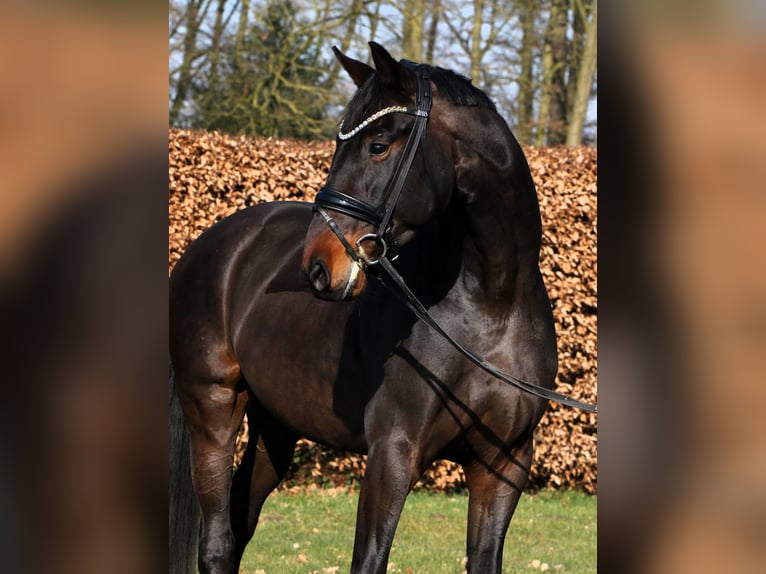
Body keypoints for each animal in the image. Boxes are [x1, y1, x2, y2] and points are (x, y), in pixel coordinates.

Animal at [171, 44, 560, 574]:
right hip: (212, 412)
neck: (492, 309)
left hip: (277, 429)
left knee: (238, 526)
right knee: (215, 542)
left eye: (378, 145)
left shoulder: (502, 466)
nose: (318, 267)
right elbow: (369, 559)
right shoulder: (392, 455)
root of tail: (207, 247)